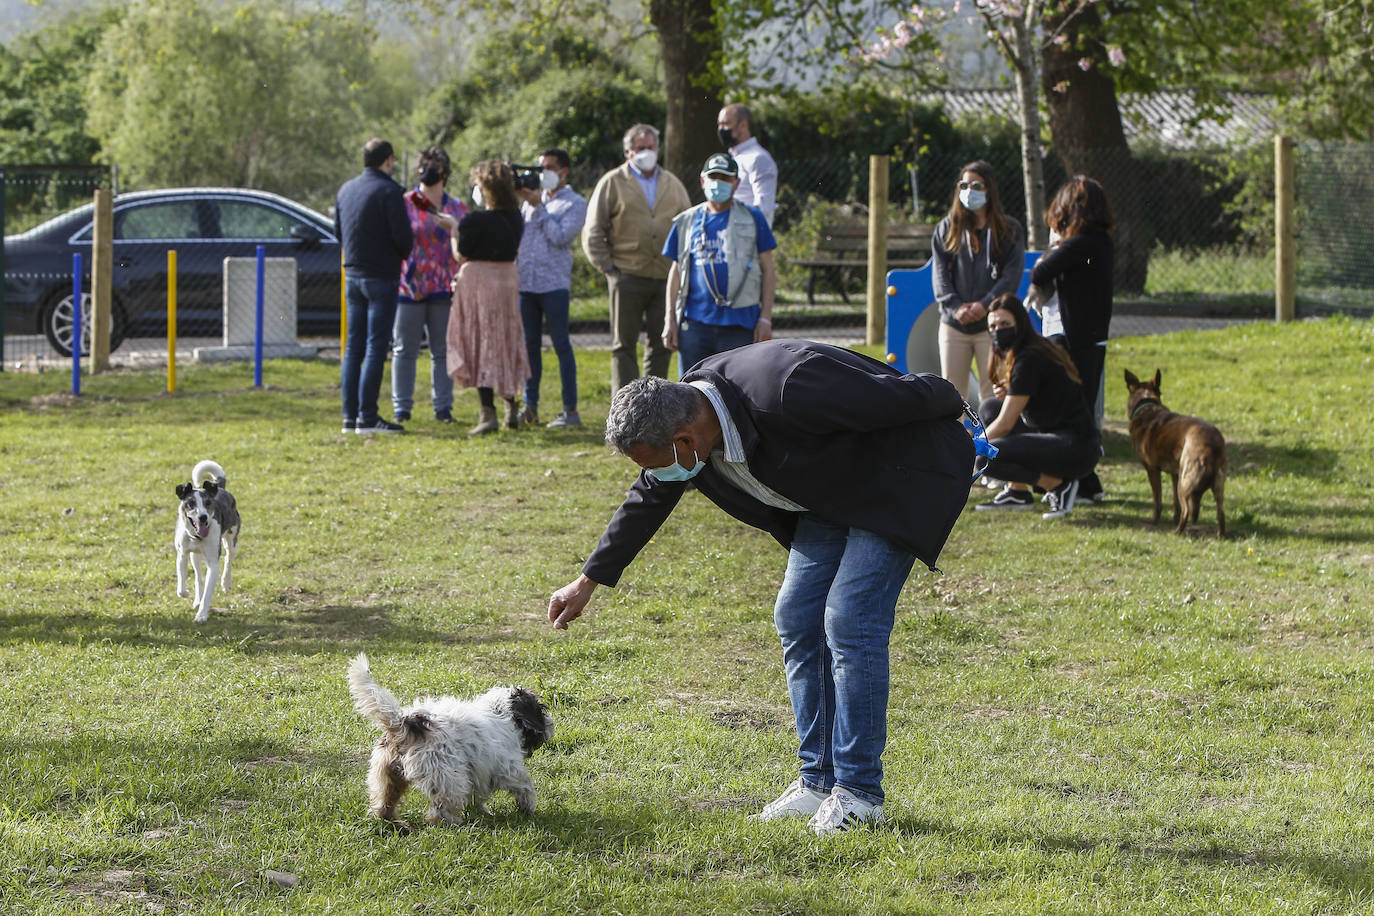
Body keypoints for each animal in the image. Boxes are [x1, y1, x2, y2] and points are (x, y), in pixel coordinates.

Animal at [175, 458, 243, 623]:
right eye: (190, 503)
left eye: (207, 503)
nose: (203, 517)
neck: (197, 537)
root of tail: (220, 488)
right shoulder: (182, 554)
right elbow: (182, 585)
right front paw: (187, 594)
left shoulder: (213, 564)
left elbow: (208, 591)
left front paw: (201, 615)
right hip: (195, 556)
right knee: (198, 576)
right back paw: (196, 599)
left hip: (232, 538)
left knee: (229, 558)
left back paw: (226, 583)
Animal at [346, 656, 555, 829]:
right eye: (540, 710)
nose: (551, 724)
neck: (500, 713)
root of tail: (404, 722)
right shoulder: (508, 768)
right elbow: (525, 786)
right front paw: (528, 809)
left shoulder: (477, 771)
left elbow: (476, 796)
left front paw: (482, 811)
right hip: (446, 776)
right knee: (442, 808)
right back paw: (453, 824)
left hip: (388, 775)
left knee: (384, 801)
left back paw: (393, 821)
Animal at [1121, 368, 1231, 538]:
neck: (1146, 406)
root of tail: (1211, 445)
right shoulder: (1175, 473)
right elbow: (1175, 502)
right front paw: (1173, 517)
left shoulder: (1152, 470)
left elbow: (1158, 499)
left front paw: (1154, 520)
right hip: (1215, 485)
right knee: (1220, 513)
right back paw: (1220, 535)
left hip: (1185, 483)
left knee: (1187, 510)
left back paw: (1177, 532)